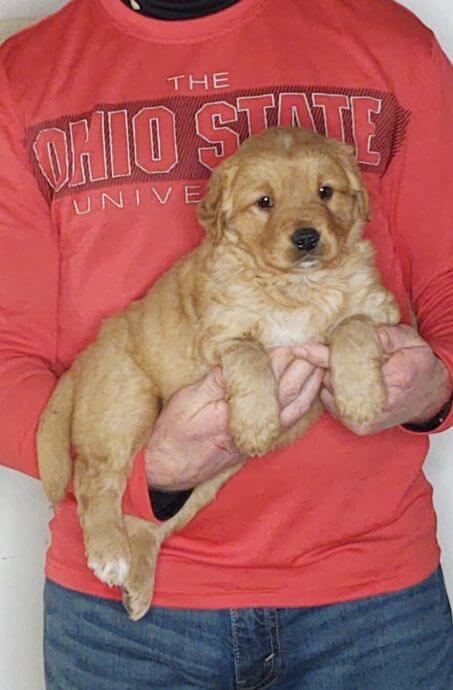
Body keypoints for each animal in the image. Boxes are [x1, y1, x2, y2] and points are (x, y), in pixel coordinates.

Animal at [38, 127, 400, 620]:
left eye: (325, 192)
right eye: (264, 202)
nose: (307, 238)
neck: (298, 287)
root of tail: (86, 354)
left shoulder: (388, 317)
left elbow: (354, 326)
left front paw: (360, 397)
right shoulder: (220, 335)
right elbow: (251, 356)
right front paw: (258, 422)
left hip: (207, 481)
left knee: (151, 522)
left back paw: (138, 581)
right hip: (127, 401)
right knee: (95, 479)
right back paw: (110, 553)